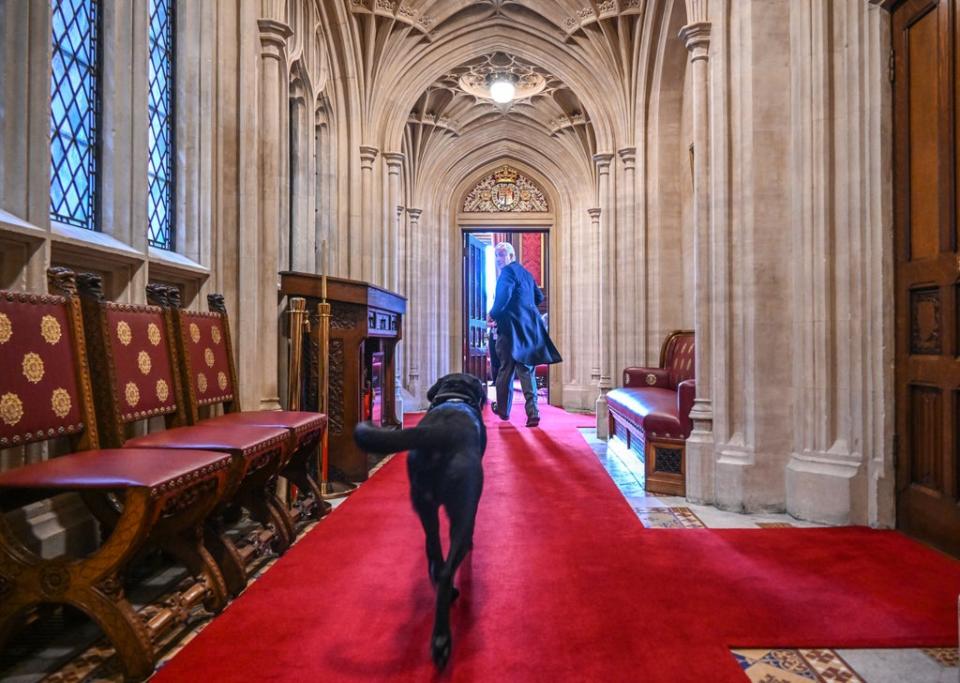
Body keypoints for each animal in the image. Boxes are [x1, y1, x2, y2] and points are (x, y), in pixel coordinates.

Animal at [352, 372, 488, 672]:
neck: (454, 397)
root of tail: (440, 431)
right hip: (462, 504)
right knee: (448, 567)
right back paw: (442, 641)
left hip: (424, 505)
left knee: (435, 557)